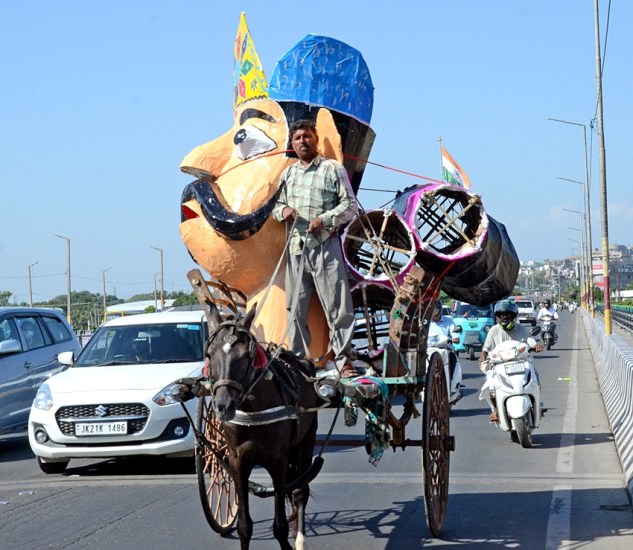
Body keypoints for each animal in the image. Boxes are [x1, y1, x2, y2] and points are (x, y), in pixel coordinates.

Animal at [204, 304, 320, 548]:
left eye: (245, 355)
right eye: (210, 355)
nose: (223, 406)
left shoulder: (278, 461)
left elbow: (280, 525)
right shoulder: (237, 462)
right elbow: (244, 526)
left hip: (306, 440)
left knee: (300, 490)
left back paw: (300, 539)